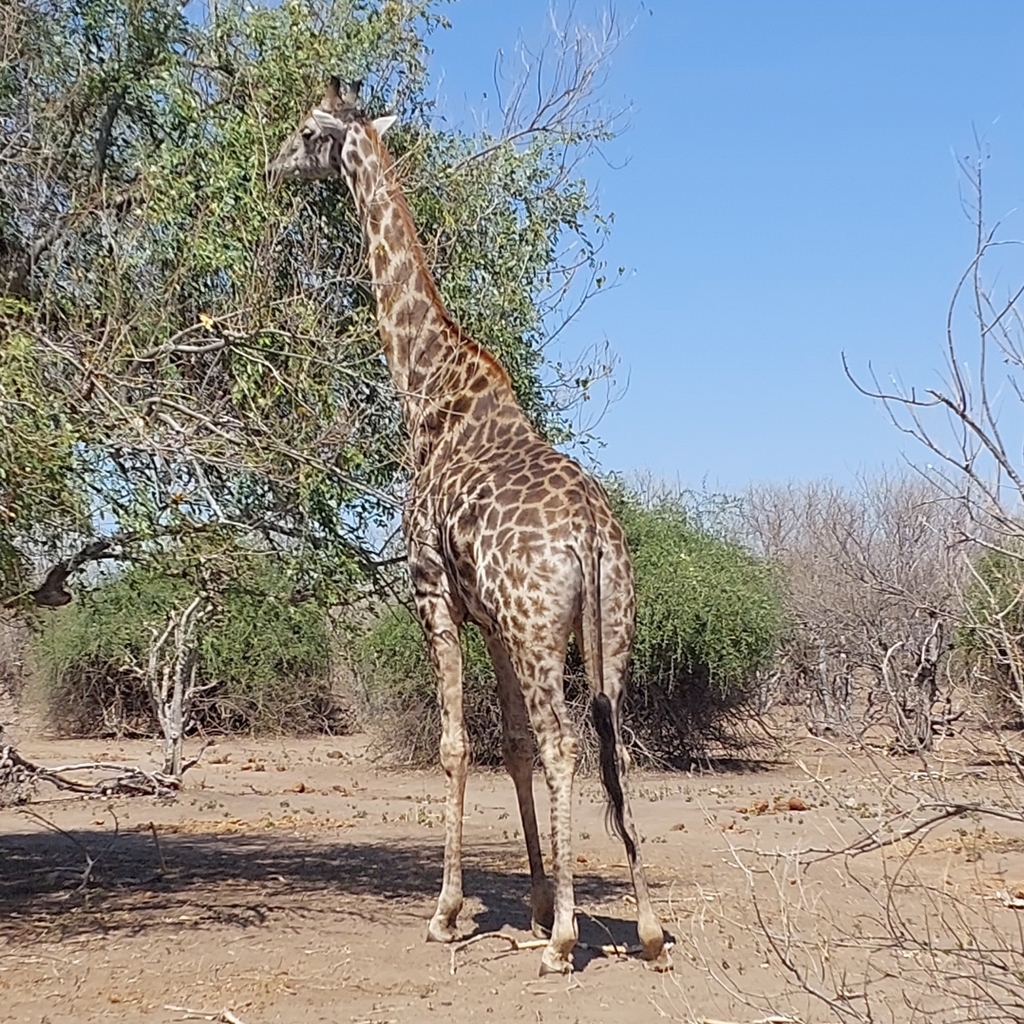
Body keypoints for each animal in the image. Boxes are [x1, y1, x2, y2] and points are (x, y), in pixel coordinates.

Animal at [267, 78, 669, 975]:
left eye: (306, 131)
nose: (272, 166)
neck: (426, 393)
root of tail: (593, 534)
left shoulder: (429, 590)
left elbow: (457, 745)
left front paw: (450, 912)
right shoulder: (489, 619)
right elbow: (508, 744)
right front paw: (534, 898)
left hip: (539, 627)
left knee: (564, 746)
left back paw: (564, 943)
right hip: (605, 630)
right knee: (613, 745)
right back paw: (649, 927)